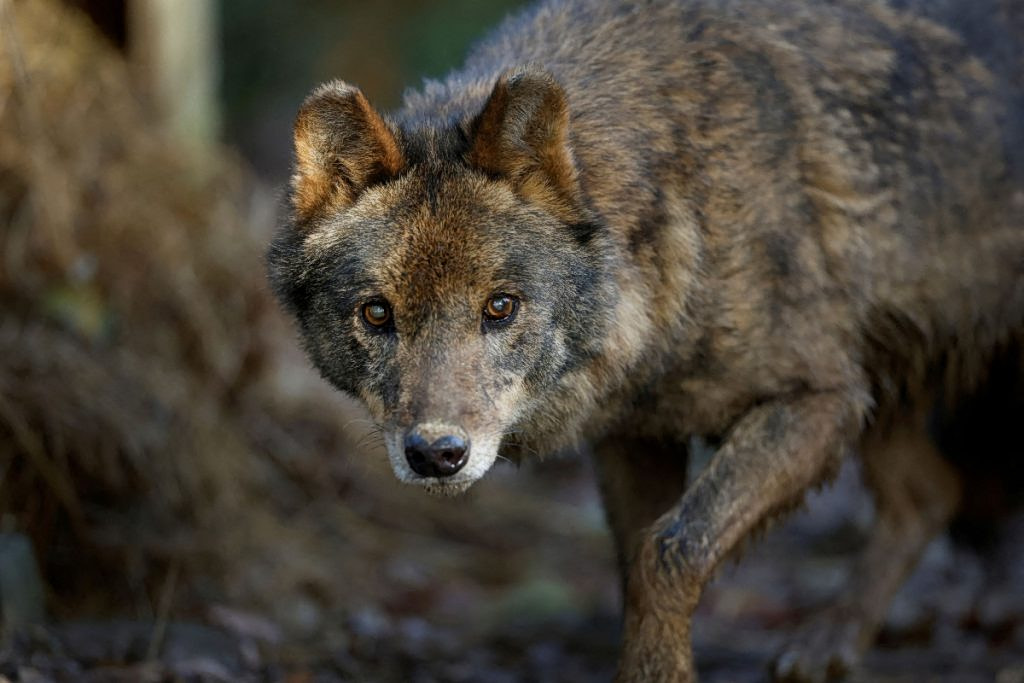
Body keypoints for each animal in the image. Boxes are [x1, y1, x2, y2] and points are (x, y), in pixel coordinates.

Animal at [267, 0, 1024, 679]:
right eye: (377, 314)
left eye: (500, 307)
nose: (436, 454)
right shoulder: (635, 435)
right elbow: (635, 568)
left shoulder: (821, 399)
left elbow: (671, 550)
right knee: (930, 492)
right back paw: (828, 645)